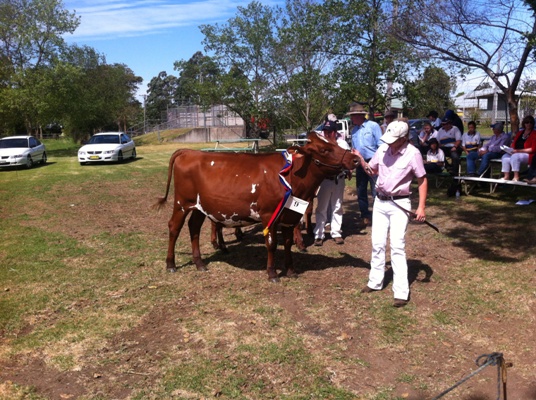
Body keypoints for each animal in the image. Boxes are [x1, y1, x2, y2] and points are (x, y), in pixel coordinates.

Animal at [153, 132, 358, 282]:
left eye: (336, 143)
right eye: (324, 149)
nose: (355, 159)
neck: (290, 176)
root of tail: (189, 152)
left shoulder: (290, 216)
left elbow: (288, 243)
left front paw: (291, 270)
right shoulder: (269, 215)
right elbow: (272, 244)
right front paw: (272, 273)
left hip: (200, 207)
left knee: (194, 228)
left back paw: (200, 263)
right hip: (181, 203)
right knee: (174, 227)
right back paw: (171, 264)